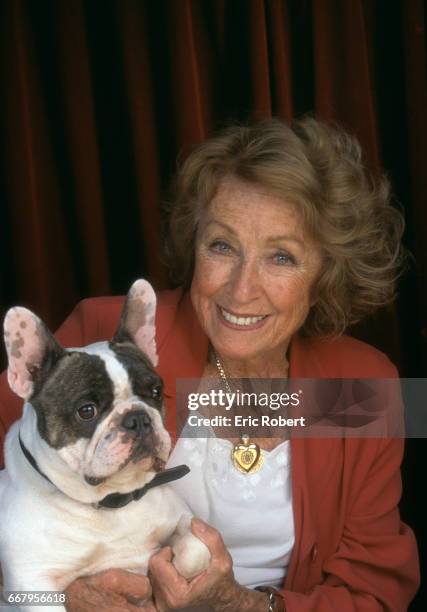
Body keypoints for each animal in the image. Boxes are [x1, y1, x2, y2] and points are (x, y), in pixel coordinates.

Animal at [0, 280, 211, 608]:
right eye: (86, 410)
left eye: (156, 391)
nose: (137, 418)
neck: (110, 501)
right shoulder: (32, 585)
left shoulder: (184, 517)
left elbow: (197, 552)